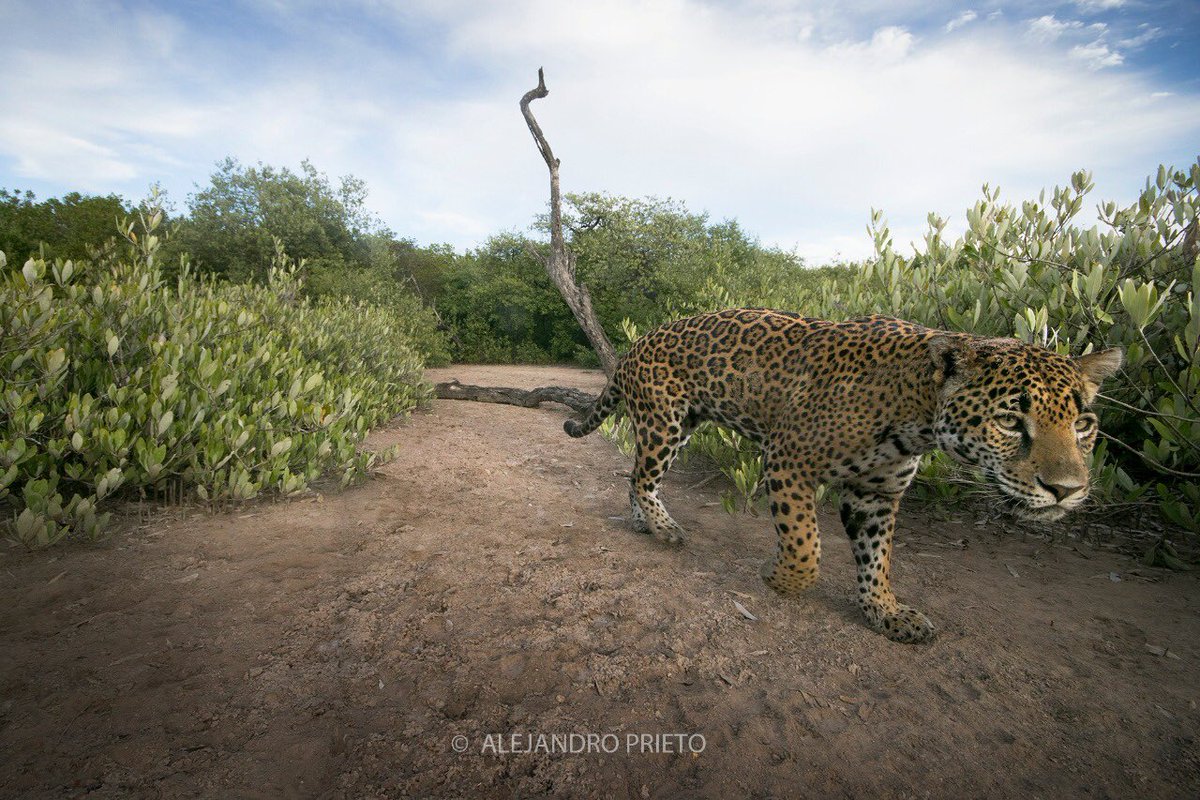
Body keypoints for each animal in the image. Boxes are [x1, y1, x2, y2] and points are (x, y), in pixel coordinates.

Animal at [564, 308, 1123, 643]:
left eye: (1083, 425)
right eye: (1009, 421)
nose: (1066, 491)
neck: (916, 411)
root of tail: (638, 342)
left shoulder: (876, 492)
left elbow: (877, 559)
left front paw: (886, 613)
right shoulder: (787, 460)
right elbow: (806, 548)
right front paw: (776, 577)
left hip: (678, 426)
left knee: (635, 475)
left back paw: (644, 523)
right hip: (666, 421)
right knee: (642, 476)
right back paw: (663, 529)